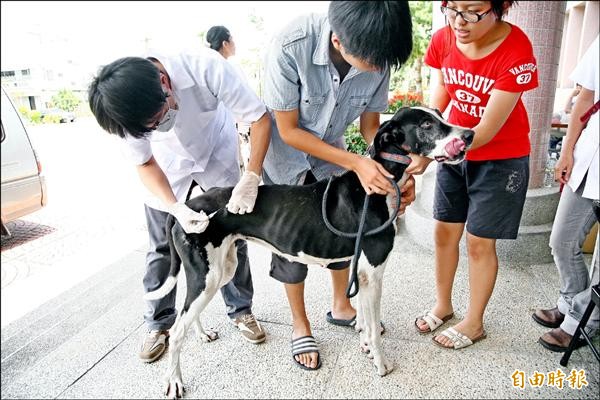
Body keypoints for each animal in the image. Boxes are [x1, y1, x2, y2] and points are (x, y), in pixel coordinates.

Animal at [144, 106, 474, 396]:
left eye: (439, 115)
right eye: (426, 124)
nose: (470, 134)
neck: (380, 183)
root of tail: (186, 206)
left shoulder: (362, 272)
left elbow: (365, 320)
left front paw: (366, 345)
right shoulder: (373, 270)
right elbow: (373, 327)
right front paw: (381, 364)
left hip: (218, 271)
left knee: (185, 313)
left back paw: (201, 334)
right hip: (208, 276)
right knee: (176, 331)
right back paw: (174, 381)